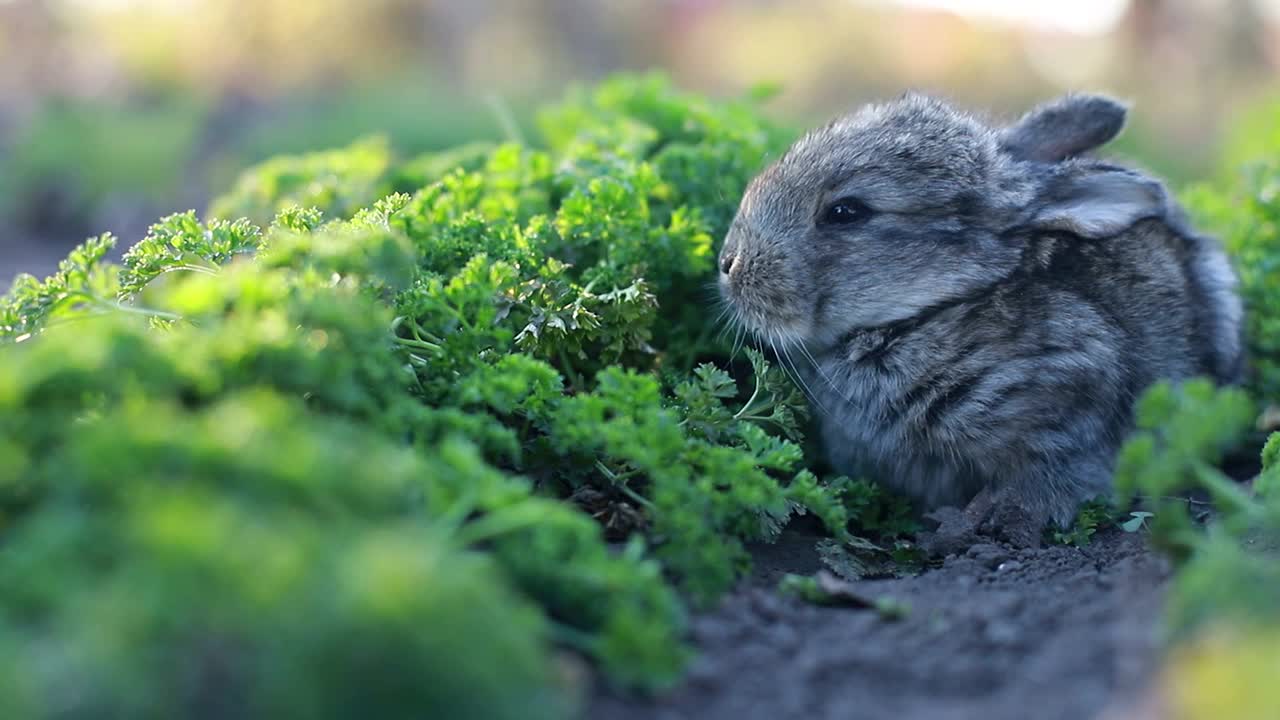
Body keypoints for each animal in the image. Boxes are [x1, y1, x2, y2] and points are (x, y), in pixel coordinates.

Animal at [721, 90, 1239, 543]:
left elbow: (1045, 477)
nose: (729, 263)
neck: (933, 307)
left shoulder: (1068, 401)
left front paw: (984, 524)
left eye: (846, 212)